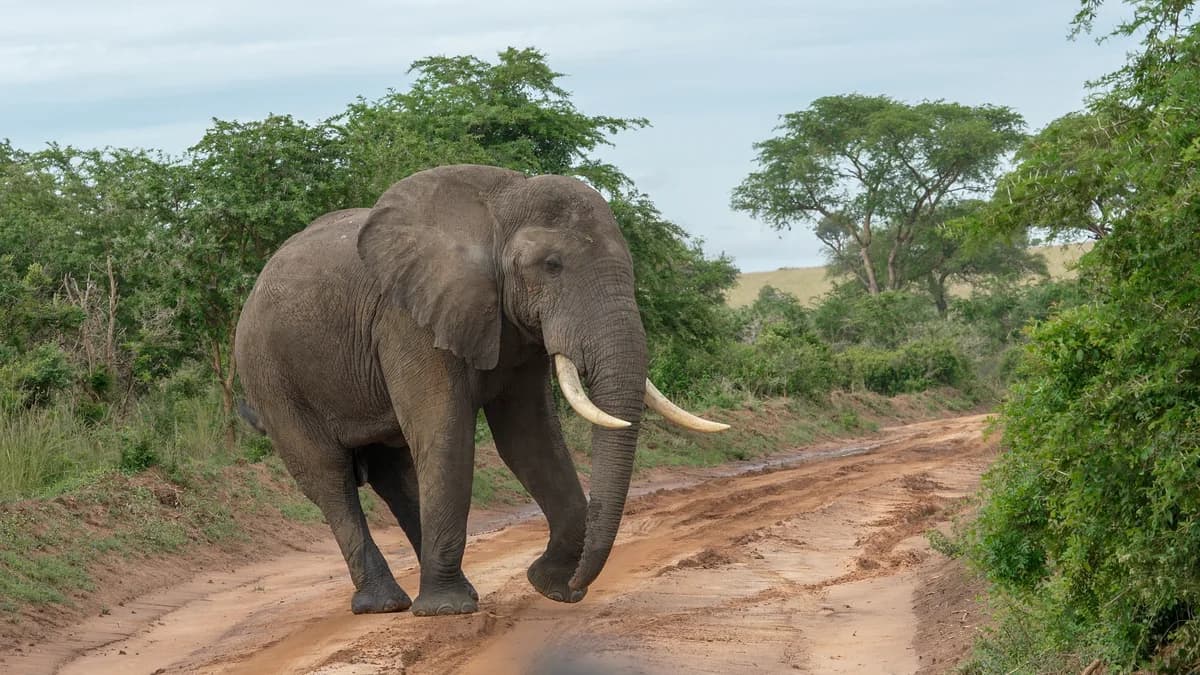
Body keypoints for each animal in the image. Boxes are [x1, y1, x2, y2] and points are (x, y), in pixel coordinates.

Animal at [234, 164, 728, 617]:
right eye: (552, 266)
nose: (577, 587)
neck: (500, 206)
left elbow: (529, 439)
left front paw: (548, 587)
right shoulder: (408, 320)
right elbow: (448, 434)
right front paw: (447, 612)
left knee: (393, 473)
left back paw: (453, 591)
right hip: (272, 378)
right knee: (329, 477)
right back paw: (390, 604)